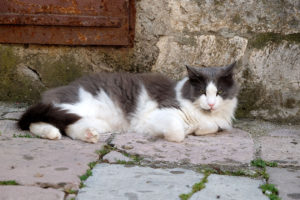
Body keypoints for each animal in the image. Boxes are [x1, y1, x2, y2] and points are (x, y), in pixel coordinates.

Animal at [18, 62, 239, 142]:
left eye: (219, 92)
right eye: (202, 91)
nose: (211, 103)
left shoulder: (217, 121)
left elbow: (212, 126)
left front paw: (198, 129)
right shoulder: (159, 113)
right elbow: (177, 133)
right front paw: (184, 131)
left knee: (67, 125)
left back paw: (88, 134)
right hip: (76, 105)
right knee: (35, 120)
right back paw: (53, 132)